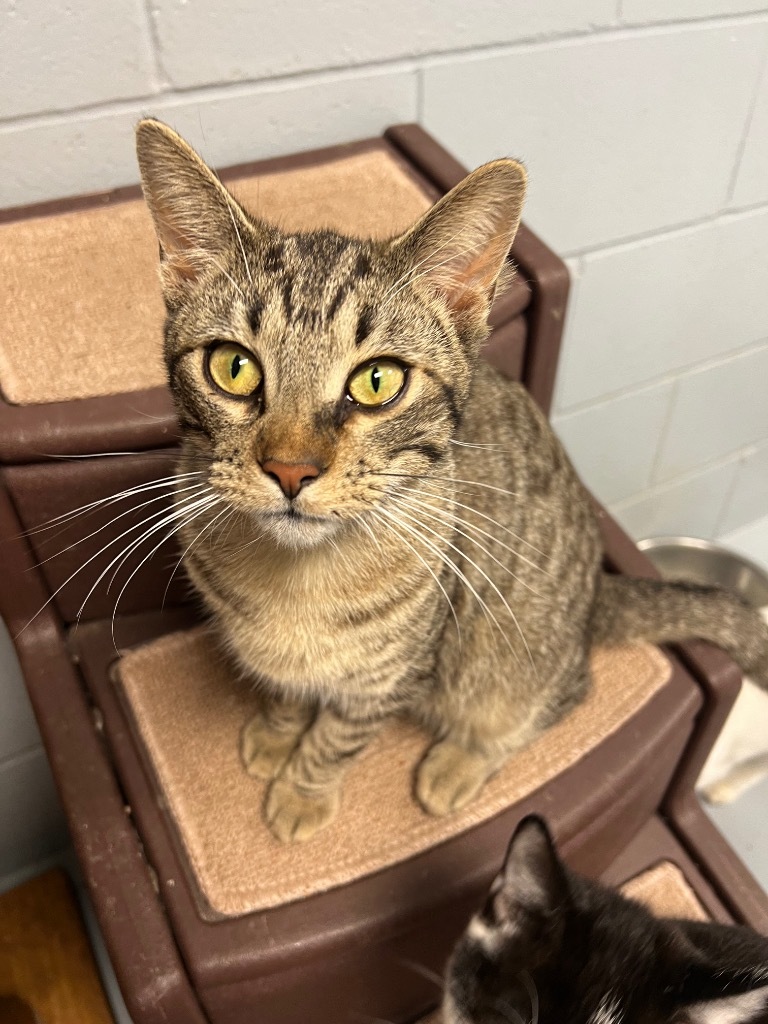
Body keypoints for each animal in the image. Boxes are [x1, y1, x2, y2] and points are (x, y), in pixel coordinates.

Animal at [135, 119, 768, 839]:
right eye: (233, 367)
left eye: (377, 380)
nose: (291, 468)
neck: (296, 583)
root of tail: (595, 598)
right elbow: (287, 692)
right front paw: (276, 731)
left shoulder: (394, 678)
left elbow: (337, 738)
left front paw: (302, 792)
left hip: (505, 668)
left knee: (557, 697)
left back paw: (459, 762)